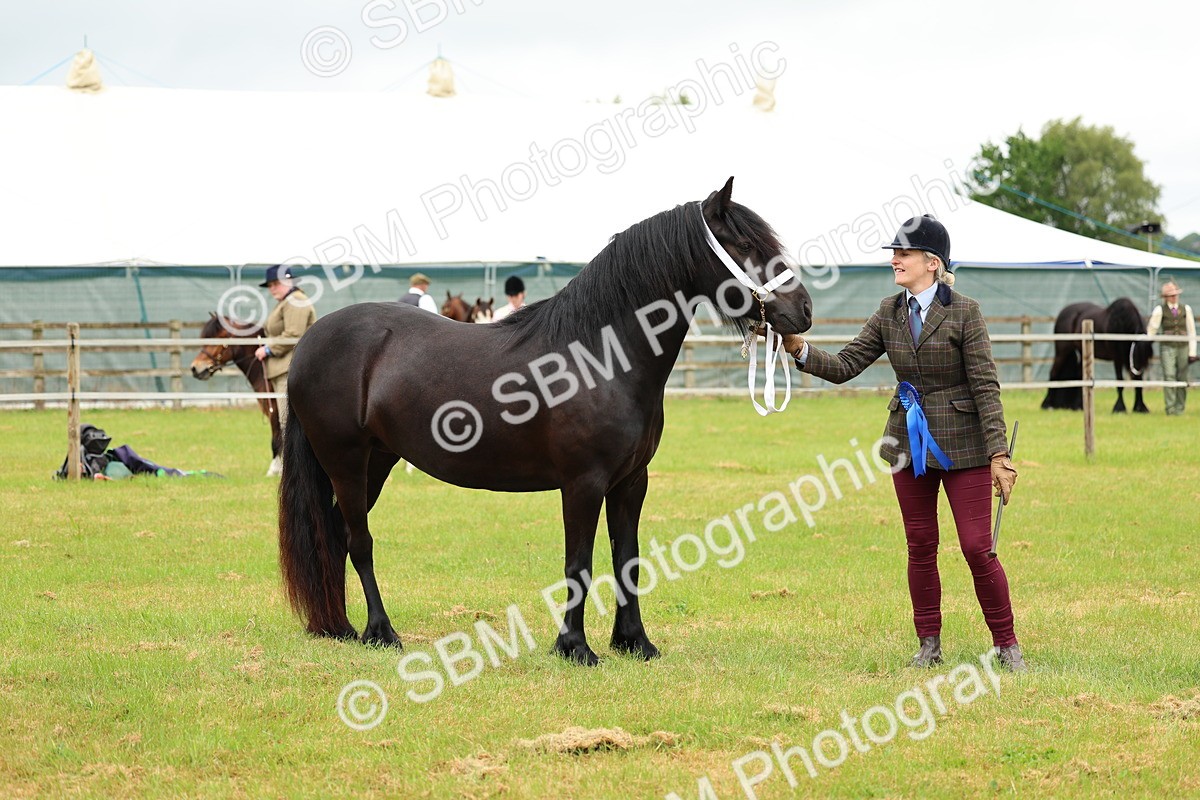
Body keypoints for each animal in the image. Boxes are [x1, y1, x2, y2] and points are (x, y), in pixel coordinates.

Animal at [277, 178, 812, 665]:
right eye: (744, 245)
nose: (803, 310)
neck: (600, 356)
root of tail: (312, 340)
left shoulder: (630, 482)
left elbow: (627, 559)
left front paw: (635, 643)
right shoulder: (583, 483)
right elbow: (579, 562)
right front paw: (575, 648)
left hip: (379, 461)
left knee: (336, 536)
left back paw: (340, 628)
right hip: (345, 461)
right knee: (359, 541)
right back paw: (380, 632)